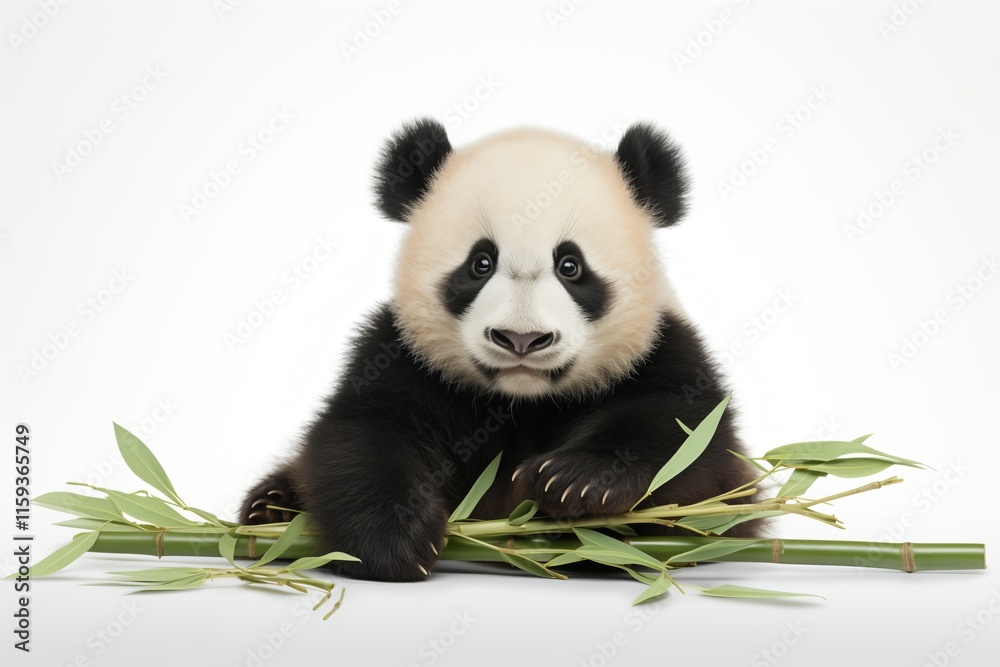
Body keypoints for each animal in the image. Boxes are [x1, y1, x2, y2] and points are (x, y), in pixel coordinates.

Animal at [240, 118, 760, 582]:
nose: (521, 339)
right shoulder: (401, 357)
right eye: (480, 263)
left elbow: (690, 447)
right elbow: (361, 434)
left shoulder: (665, 350)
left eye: (570, 266)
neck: (521, 399)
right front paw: (397, 541)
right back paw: (271, 510)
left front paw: (572, 482)